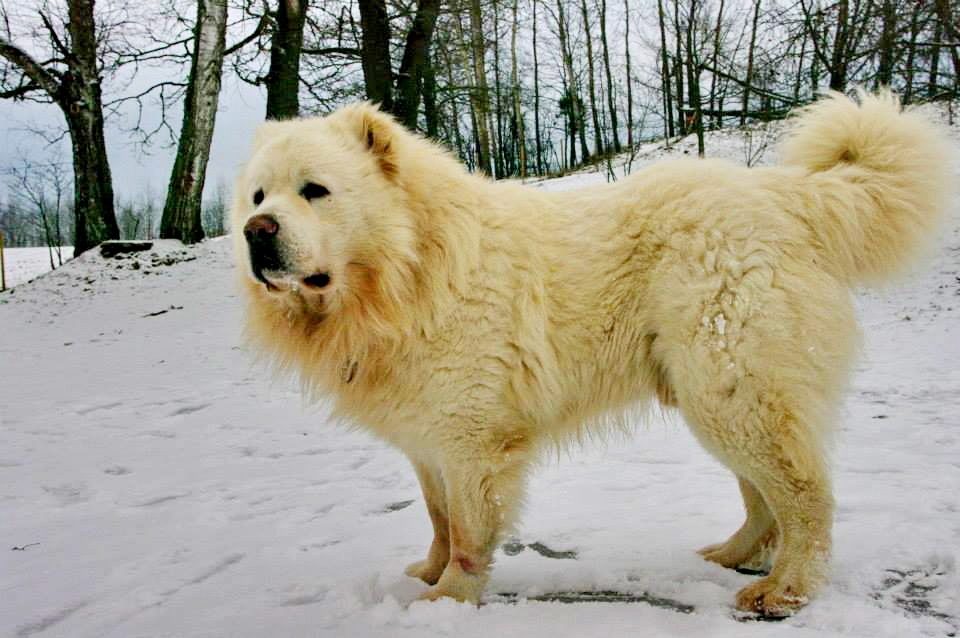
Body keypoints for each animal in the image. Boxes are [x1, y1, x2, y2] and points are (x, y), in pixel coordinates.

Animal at [232, 92, 952, 616]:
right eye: (260, 196)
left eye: (315, 190)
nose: (255, 232)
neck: (408, 274)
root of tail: (789, 195)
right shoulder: (426, 437)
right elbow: (438, 519)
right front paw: (428, 572)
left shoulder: (472, 442)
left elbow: (467, 532)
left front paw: (449, 600)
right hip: (720, 395)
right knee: (763, 499)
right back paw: (732, 556)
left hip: (731, 390)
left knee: (805, 497)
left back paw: (786, 589)